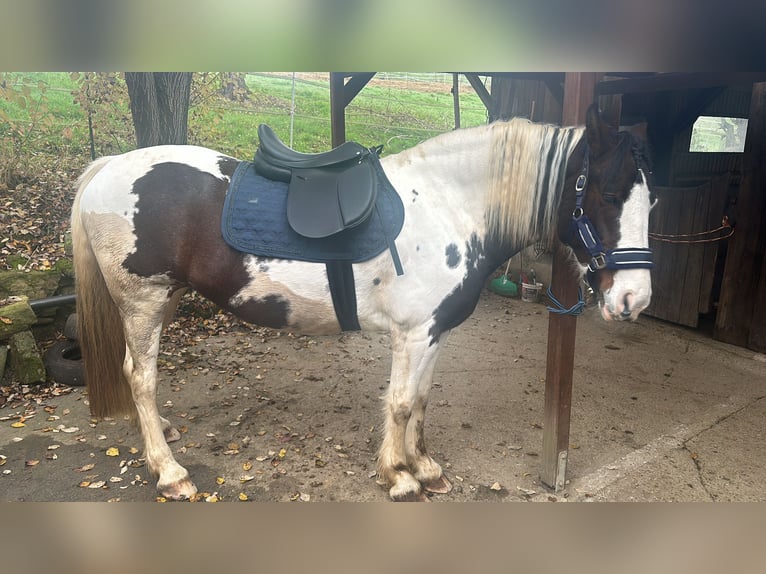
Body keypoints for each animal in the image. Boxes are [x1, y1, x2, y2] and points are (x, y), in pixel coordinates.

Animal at [70, 104, 656, 504]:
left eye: (651, 201)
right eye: (607, 195)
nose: (634, 299)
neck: (448, 206)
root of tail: (110, 166)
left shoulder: (436, 331)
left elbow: (421, 400)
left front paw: (425, 467)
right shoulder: (413, 333)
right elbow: (399, 402)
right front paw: (398, 476)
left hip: (164, 301)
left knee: (136, 373)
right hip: (143, 303)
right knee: (140, 378)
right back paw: (169, 472)